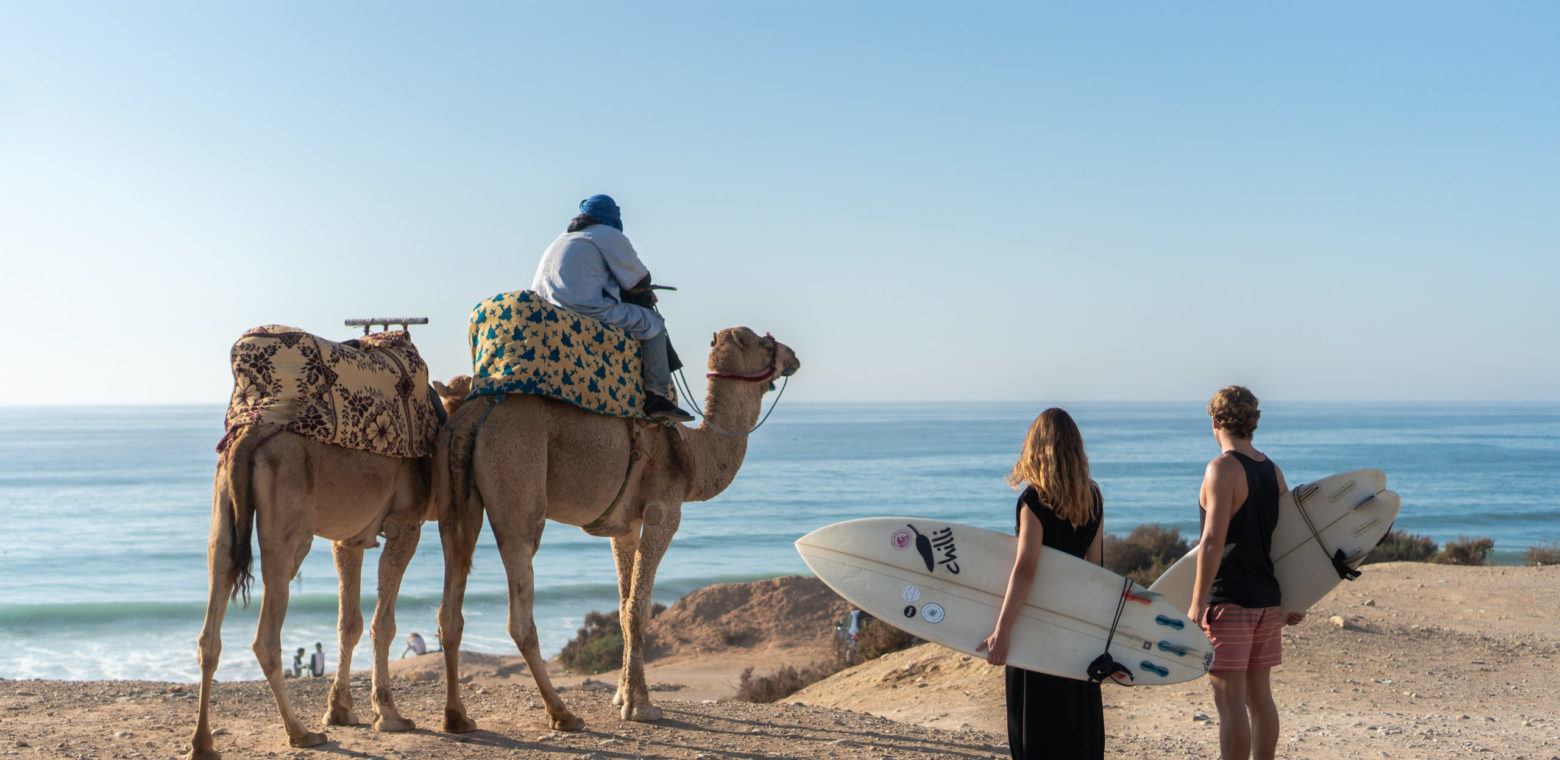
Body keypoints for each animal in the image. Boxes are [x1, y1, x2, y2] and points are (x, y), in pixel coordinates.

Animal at [189, 380, 467, 760]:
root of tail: (247, 437)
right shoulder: (405, 524)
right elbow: (383, 624)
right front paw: (389, 715)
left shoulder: (349, 539)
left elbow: (349, 623)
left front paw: (340, 711)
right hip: (288, 526)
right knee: (266, 633)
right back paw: (300, 733)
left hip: (222, 516)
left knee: (211, 624)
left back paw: (203, 744)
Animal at [436, 326, 798, 730]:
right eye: (765, 343)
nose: (793, 357)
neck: (694, 451)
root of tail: (473, 414)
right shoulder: (663, 512)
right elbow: (638, 609)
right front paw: (642, 708)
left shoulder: (624, 526)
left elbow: (623, 606)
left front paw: (623, 696)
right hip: (517, 481)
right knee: (520, 612)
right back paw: (562, 713)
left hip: (454, 495)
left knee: (451, 597)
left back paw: (456, 718)